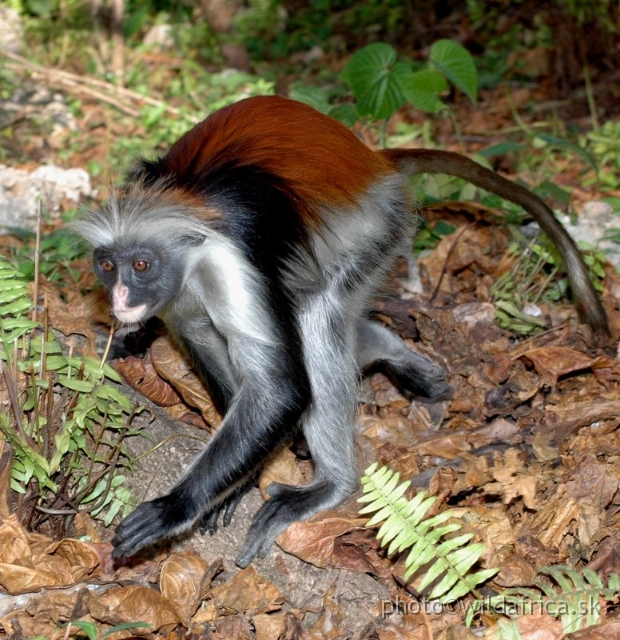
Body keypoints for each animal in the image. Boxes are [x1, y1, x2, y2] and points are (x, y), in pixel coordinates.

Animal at [74, 94, 612, 564]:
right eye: (108, 266)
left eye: (141, 265)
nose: (120, 299)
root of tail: (372, 159)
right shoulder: (180, 296)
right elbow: (206, 341)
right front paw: (238, 481)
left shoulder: (227, 259)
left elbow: (281, 388)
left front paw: (180, 506)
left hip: (379, 227)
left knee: (317, 315)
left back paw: (334, 482)